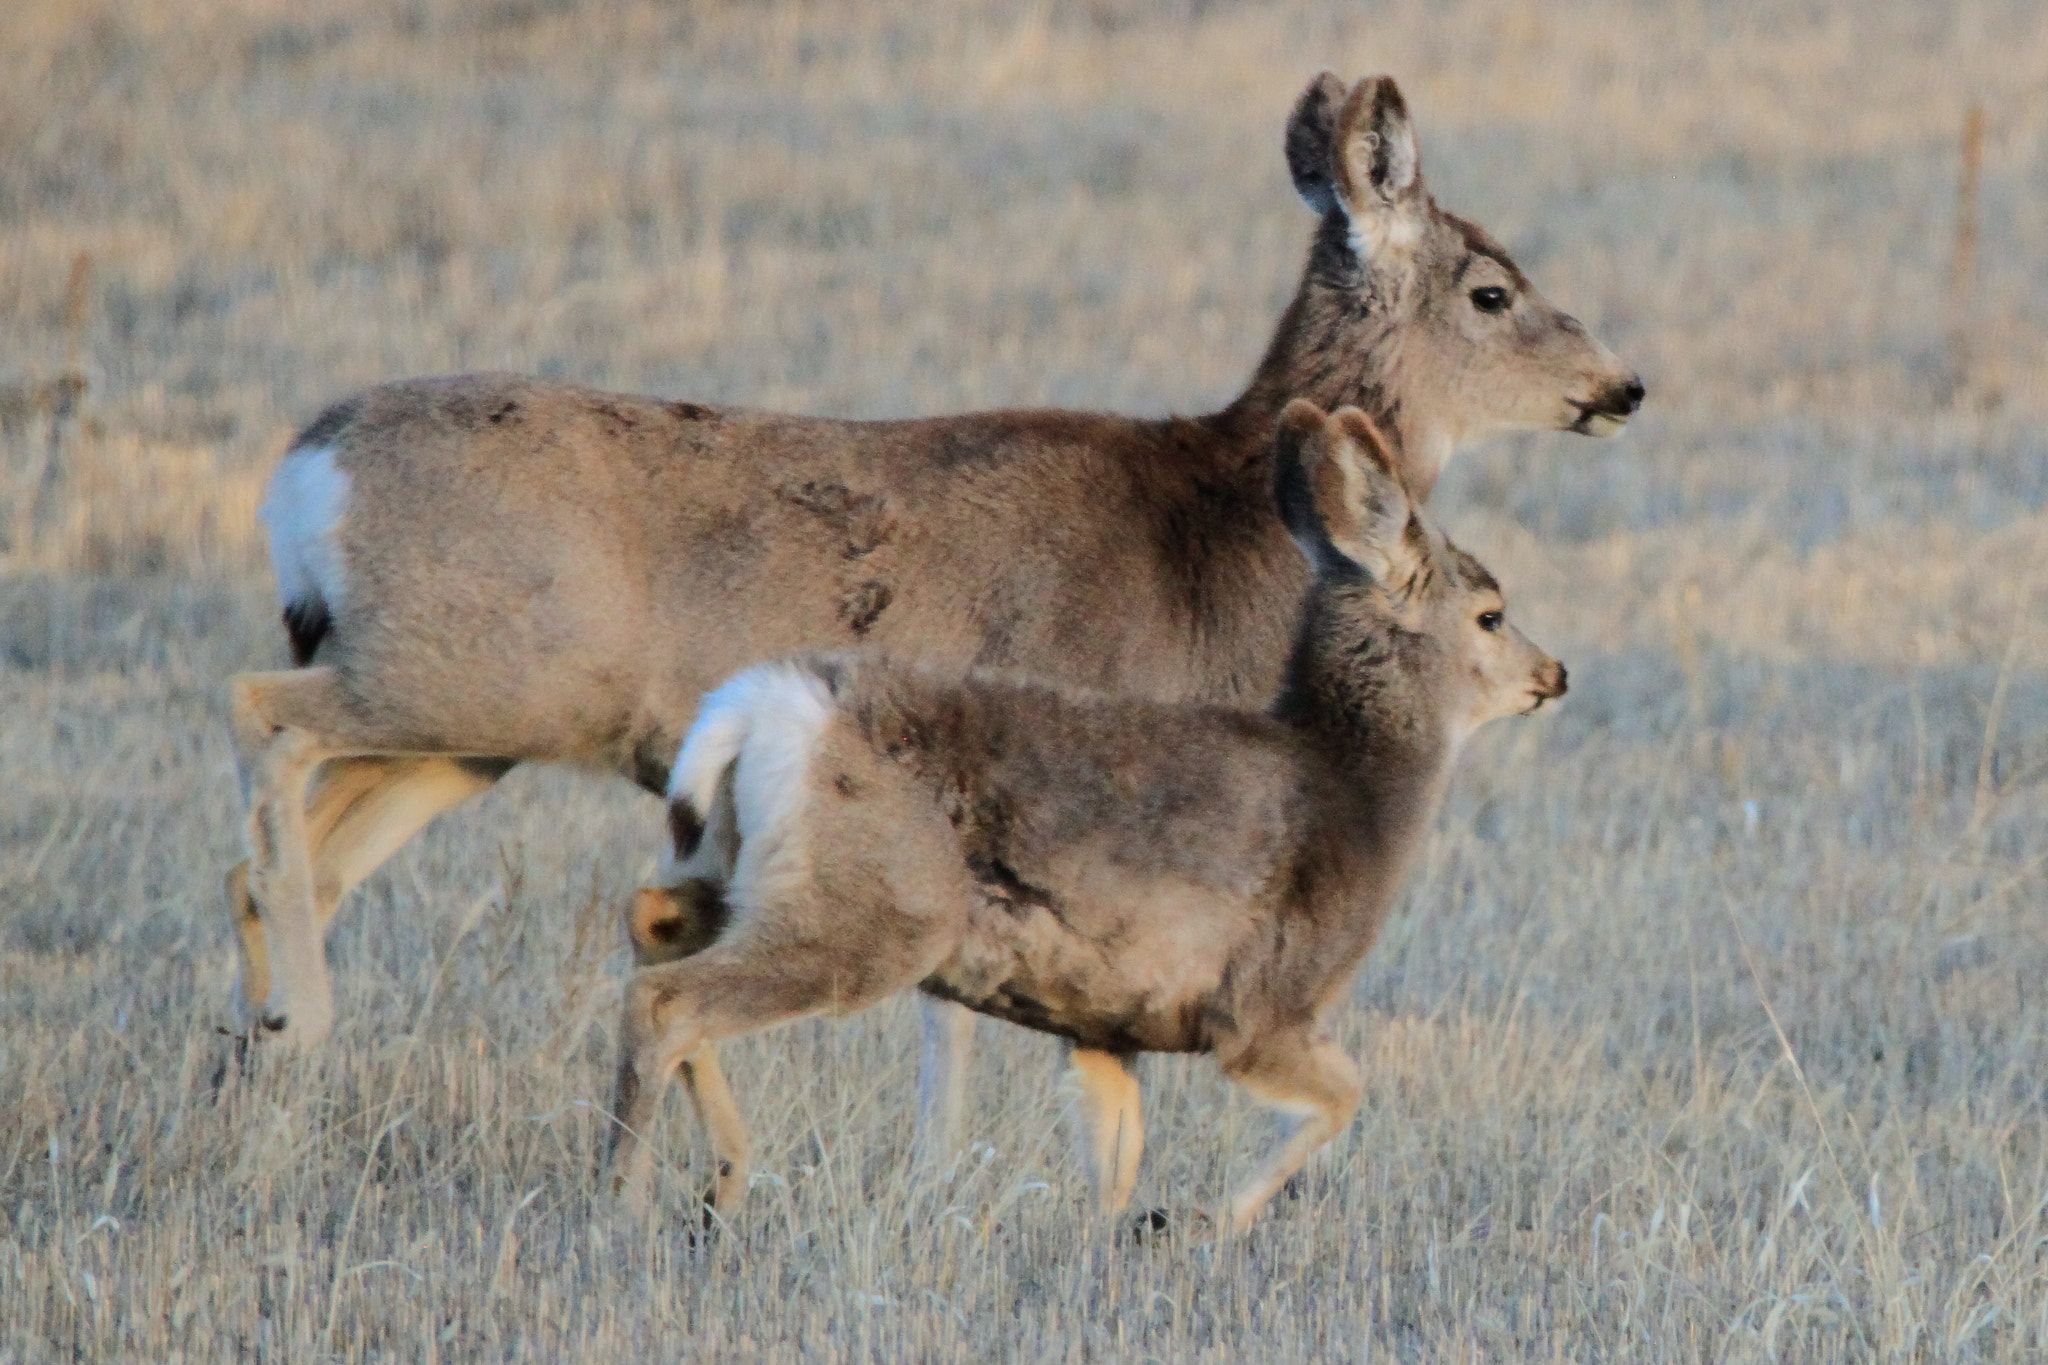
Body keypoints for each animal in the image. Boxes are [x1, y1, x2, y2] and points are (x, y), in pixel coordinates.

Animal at [607, 400, 1566, 1231]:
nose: (1553, 673)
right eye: (1491, 614)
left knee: (650, 920)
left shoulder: (1106, 1027)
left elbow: (1116, 1160)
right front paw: (1205, 1222)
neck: (1356, 789)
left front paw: (1124, 1238)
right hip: (871, 916)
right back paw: (632, 1198)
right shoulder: (1263, 1006)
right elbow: (1344, 1095)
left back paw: (720, 1180)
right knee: (670, 1000)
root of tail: (759, 707)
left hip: (755, 875)